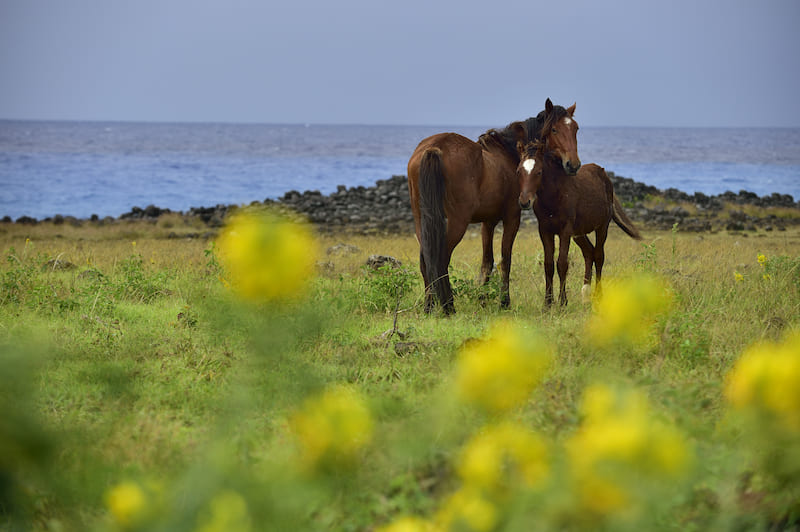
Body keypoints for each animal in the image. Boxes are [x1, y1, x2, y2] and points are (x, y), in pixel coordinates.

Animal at [407, 111, 548, 315]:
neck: (506, 153)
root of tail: (434, 148)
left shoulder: (488, 222)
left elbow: (487, 262)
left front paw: (483, 300)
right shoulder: (512, 218)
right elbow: (505, 260)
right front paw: (504, 302)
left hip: (421, 221)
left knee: (426, 260)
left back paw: (429, 306)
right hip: (457, 222)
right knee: (440, 259)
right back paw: (448, 306)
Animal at [517, 101, 642, 307]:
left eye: (539, 172)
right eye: (519, 171)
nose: (524, 201)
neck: (554, 194)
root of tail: (603, 173)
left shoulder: (565, 230)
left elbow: (562, 263)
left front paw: (562, 302)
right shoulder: (545, 230)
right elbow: (548, 264)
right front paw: (547, 303)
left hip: (602, 226)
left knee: (599, 255)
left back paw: (598, 295)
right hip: (580, 232)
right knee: (589, 252)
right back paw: (585, 293)